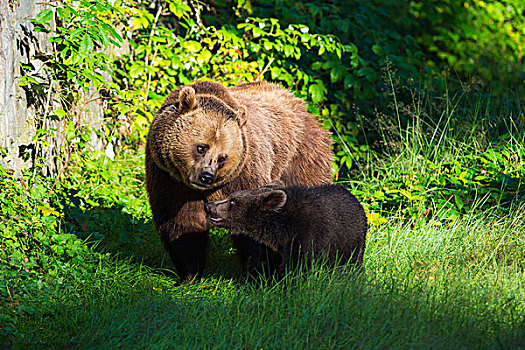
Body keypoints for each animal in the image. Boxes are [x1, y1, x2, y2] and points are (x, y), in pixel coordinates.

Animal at [143, 80, 332, 284]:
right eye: (201, 147)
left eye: (222, 157)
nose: (206, 177)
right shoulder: (169, 180)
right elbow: (183, 224)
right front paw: (188, 276)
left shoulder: (245, 174)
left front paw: (257, 274)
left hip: (300, 160)